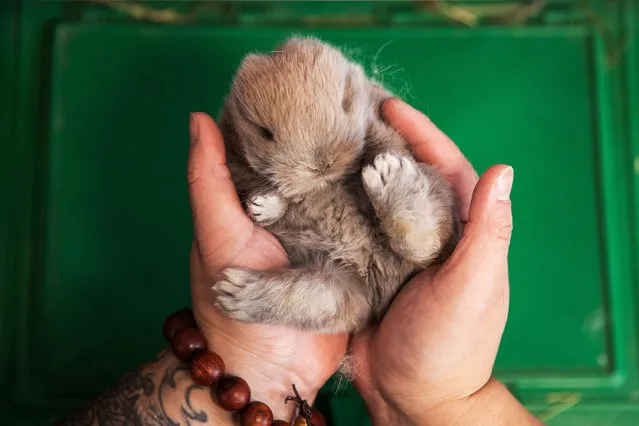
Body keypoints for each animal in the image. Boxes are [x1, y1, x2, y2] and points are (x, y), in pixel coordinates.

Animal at [215, 36, 460, 332]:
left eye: (345, 103)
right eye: (264, 132)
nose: (322, 164)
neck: (323, 186)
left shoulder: (380, 127)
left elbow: (388, 145)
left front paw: (384, 165)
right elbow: (271, 201)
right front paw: (264, 206)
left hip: (437, 196)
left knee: (422, 243)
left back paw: (389, 179)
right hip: (340, 285)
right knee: (314, 297)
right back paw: (234, 293)